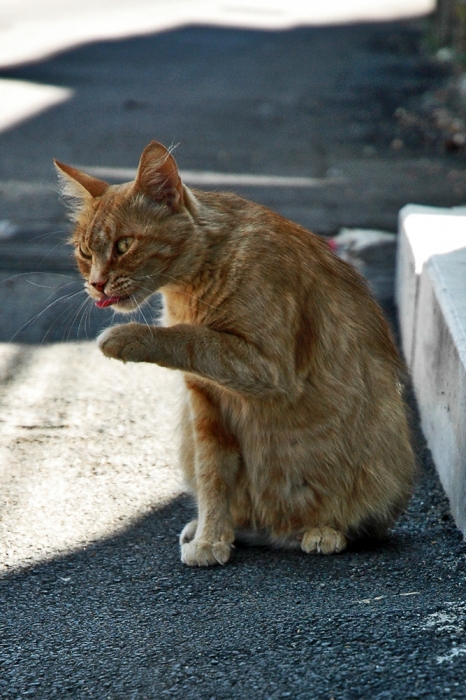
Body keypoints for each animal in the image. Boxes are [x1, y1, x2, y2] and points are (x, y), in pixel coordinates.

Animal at [54, 139, 416, 568]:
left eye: (124, 245)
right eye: (84, 251)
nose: (95, 284)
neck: (200, 276)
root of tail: (278, 533)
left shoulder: (266, 368)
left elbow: (190, 337)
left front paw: (128, 336)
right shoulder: (206, 404)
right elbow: (213, 478)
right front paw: (211, 537)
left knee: (356, 523)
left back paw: (323, 531)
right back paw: (221, 528)